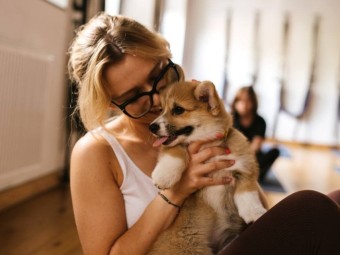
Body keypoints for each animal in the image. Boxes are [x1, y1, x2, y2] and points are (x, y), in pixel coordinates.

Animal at [147, 80, 266, 254]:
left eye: (178, 110)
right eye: (161, 109)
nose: (151, 127)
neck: (208, 143)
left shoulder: (245, 166)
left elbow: (247, 192)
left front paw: (254, 211)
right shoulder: (174, 147)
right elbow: (176, 150)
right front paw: (164, 176)